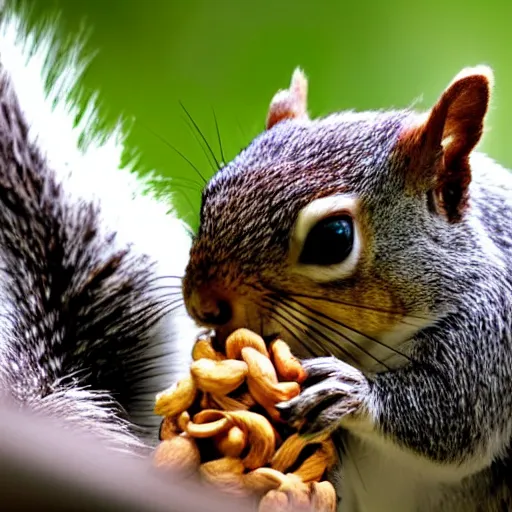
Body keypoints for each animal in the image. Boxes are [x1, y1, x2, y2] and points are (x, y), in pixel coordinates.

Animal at [183, 64, 512, 508]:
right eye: (209, 197)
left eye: (333, 237)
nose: (202, 305)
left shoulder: (491, 331)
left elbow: (457, 417)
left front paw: (348, 392)